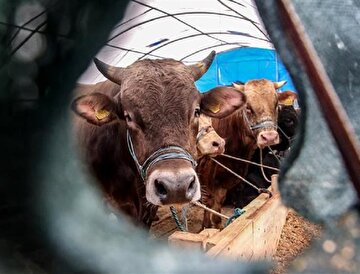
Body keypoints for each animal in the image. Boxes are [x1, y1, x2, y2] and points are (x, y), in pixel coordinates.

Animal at [198, 78, 296, 228]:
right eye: (248, 107)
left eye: (275, 105)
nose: (269, 137)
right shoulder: (207, 177)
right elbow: (209, 204)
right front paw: (207, 226)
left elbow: (217, 206)